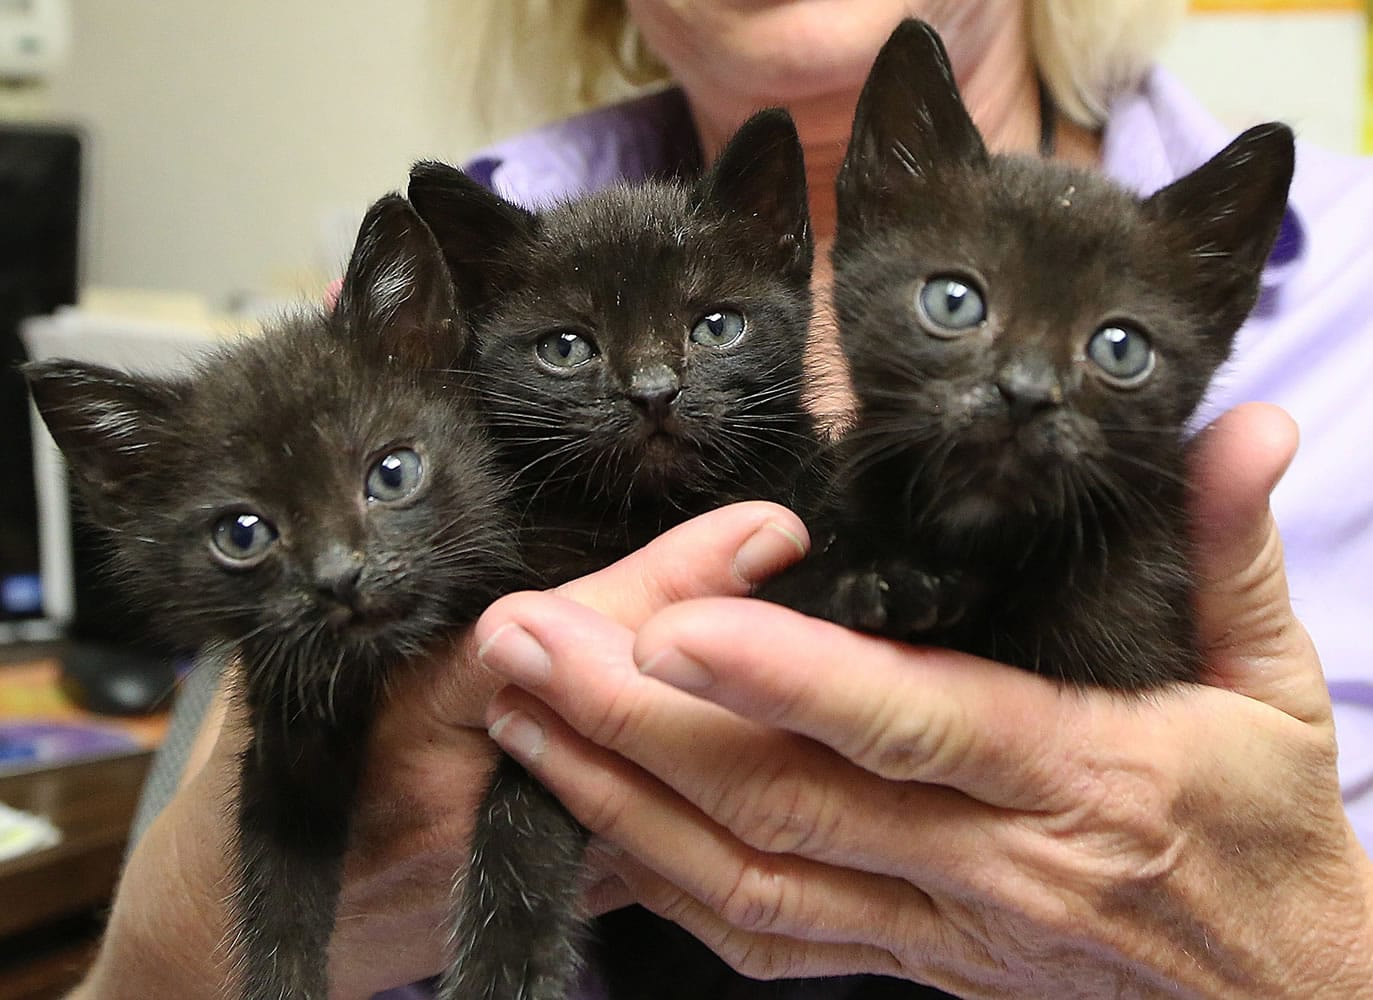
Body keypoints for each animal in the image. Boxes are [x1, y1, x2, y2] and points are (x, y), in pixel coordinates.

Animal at [400, 105, 818, 994]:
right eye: (566, 347)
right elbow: (524, 794)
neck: (643, 519)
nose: (654, 391)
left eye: (716, 325)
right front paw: (505, 959)